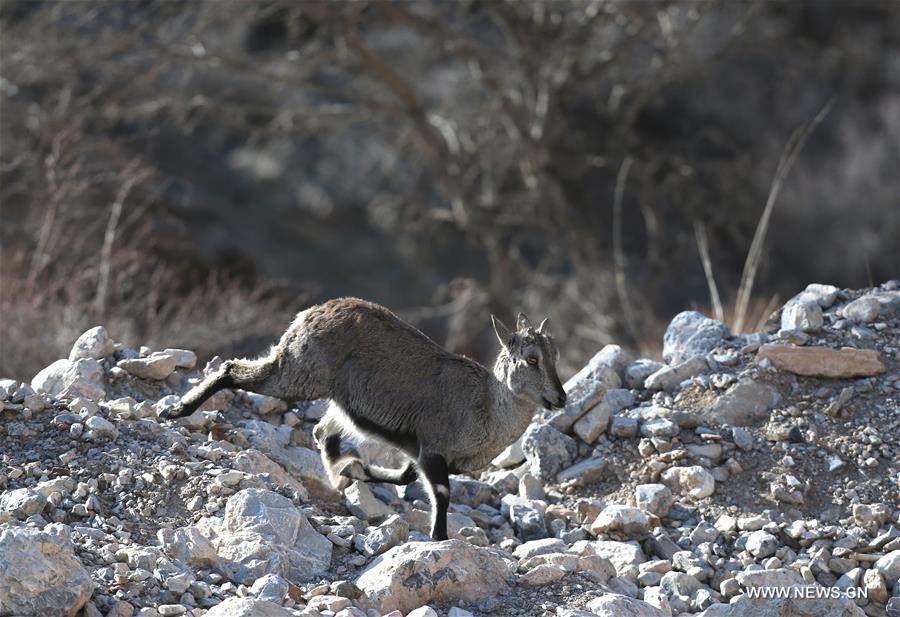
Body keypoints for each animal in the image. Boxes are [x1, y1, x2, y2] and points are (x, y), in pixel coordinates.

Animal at [159, 297, 566, 540]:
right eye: (531, 359)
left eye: (555, 355)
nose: (560, 398)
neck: (486, 409)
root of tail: (308, 314)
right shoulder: (434, 449)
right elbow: (440, 495)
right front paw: (439, 540)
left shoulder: (420, 452)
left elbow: (403, 476)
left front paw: (351, 470)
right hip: (299, 373)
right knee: (232, 369)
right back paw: (177, 410)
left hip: (337, 400)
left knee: (323, 431)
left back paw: (338, 474)